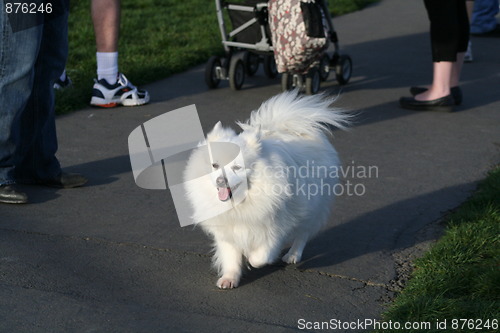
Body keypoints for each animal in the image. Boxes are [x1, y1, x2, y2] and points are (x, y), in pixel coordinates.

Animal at [183, 90, 348, 288]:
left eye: (237, 167)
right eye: (215, 165)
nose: (221, 181)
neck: (241, 202)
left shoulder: (274, 226)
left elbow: (260, 257)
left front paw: (252, 258)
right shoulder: (227, 229)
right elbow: (230, 255)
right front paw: (229, 278)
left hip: (311, 207)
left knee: (303, 233)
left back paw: (292, 255)